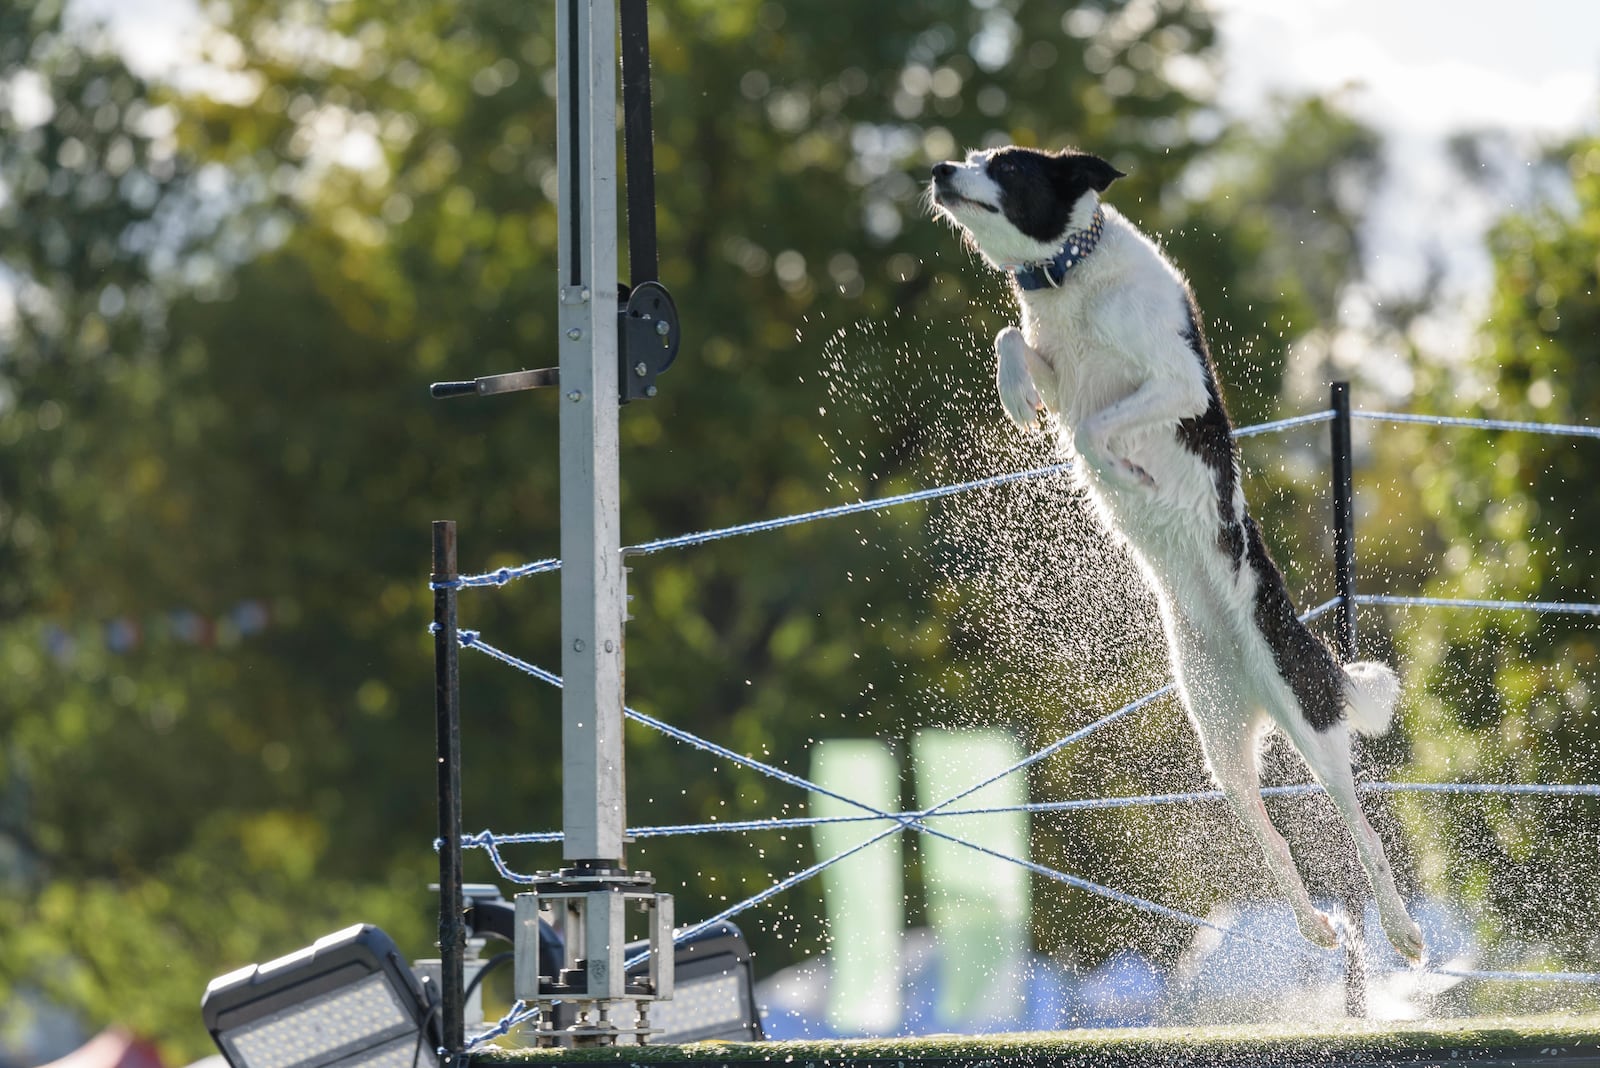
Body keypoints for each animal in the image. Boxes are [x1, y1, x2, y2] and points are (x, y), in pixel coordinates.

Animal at [928, 146, 1427, 965]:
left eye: (1007, 165)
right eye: (973, 155)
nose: (941, 168)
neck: (1074, 274)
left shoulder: (1176, 383)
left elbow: (1097, 425)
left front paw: (1128, 474)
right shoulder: (1062, 369)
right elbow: (1011, 340)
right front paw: (1014, 396)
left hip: (1307, 720)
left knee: (1362, 830)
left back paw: (1402, 929)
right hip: (1218, 740)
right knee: (1274, 841)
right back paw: (1315, 927)